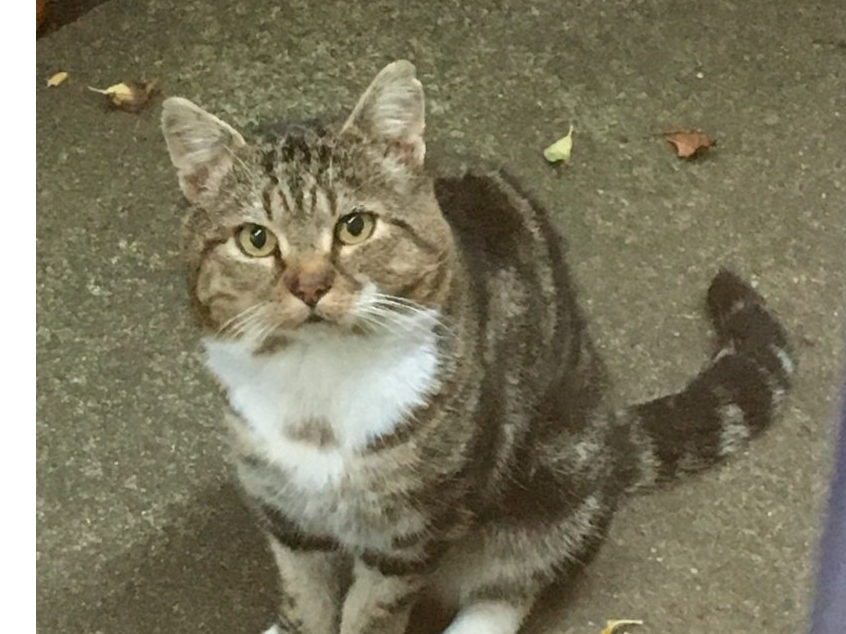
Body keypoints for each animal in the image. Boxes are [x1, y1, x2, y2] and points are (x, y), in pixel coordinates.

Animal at [162, 60, 800, 632]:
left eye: (355, 226)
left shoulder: (410, 534)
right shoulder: (287, 517)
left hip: (554, 489)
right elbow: (306, 603)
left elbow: (371, 614)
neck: (318, 385)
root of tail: (614, 428)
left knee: (517, 579)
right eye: (255, 239)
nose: (310, 285)